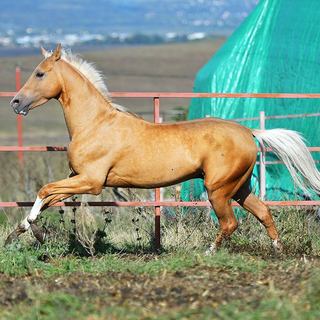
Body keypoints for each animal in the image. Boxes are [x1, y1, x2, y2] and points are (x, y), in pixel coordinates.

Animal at [5, 43, 320, 252]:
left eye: (40, 74)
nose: (16, 102)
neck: (95, 123)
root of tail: (249, 132)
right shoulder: (76, 178)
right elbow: (49, 198)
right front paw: (23, 231)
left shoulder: (92, 182)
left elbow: (44, 190)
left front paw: (28, 229)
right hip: (240, 188)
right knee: (263, 211)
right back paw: (277, 250)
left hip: (218, 190)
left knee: (230, 223)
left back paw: (209, 252)